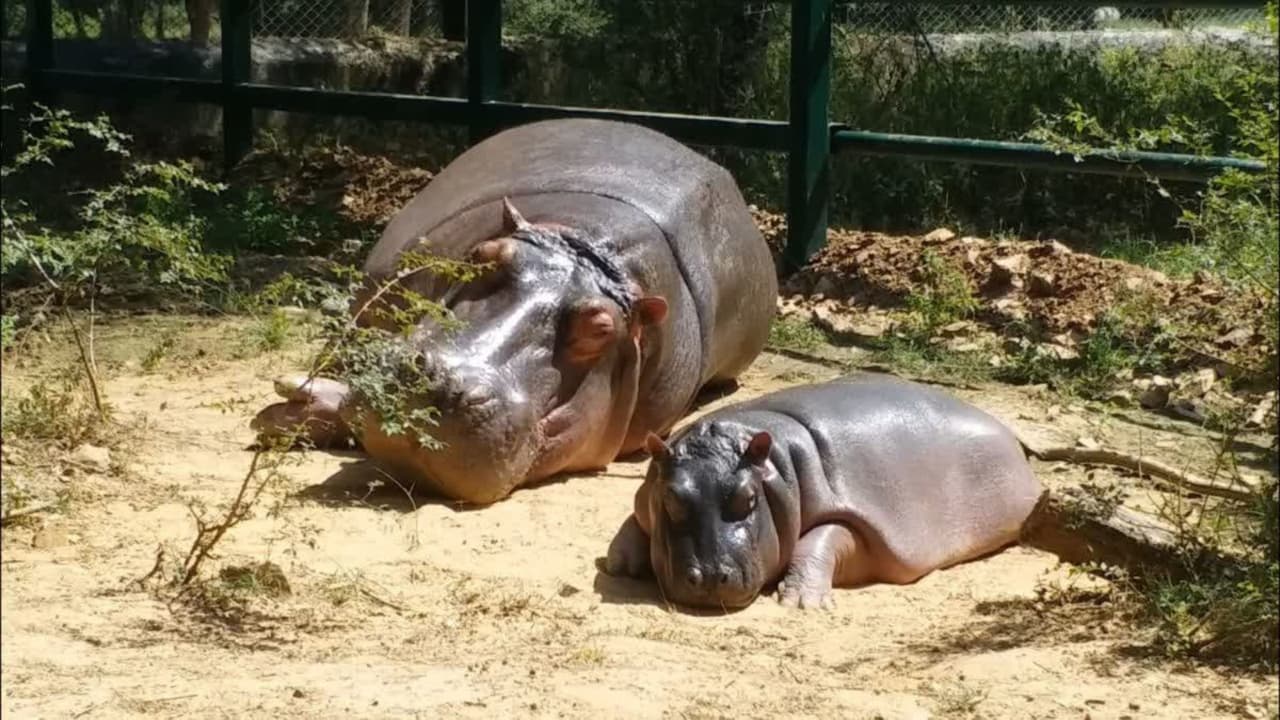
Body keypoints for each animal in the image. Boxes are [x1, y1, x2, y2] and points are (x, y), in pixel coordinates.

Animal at [604, 374, 1044, 610]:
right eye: (671, 499)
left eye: (749, 498)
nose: (712, 576)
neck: (775, 468)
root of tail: (1006, 429)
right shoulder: (649, 490)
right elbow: (633, 517)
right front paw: (618, 565)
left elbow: (822, 538)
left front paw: (800, 602)